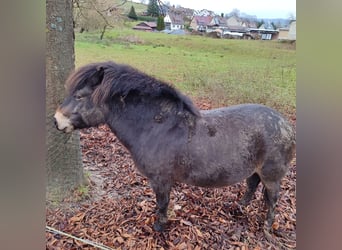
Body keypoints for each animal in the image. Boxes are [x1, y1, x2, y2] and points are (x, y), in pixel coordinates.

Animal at [54, 61, 296, 232]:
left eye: (79, 96)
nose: (56, 121)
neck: (156, 126)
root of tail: (286, 125)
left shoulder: (161, 180)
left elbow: (163, 203)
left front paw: (159, 226)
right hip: (255, 169)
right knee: (252, 184)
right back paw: (239, 207)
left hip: (272, 176)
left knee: (272, 198)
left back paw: (267, 226)